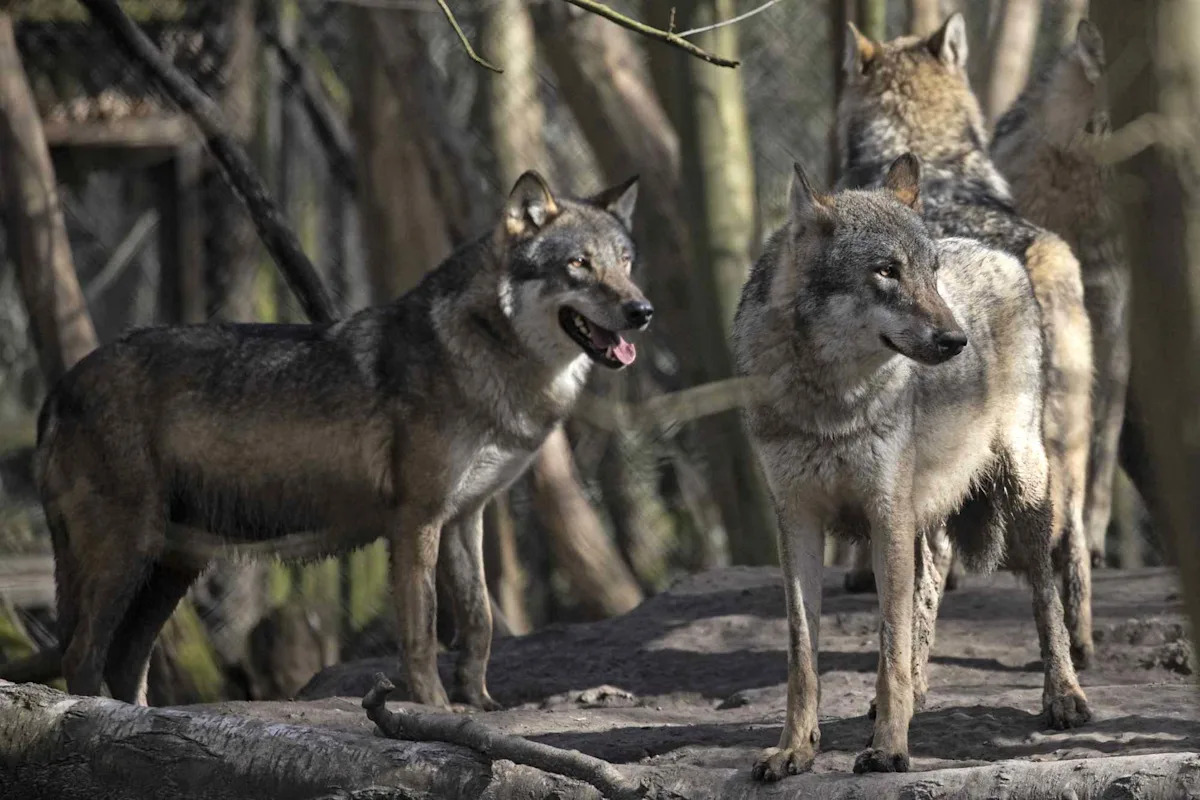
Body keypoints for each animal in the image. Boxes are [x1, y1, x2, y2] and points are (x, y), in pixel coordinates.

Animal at [35, 171, 649, 708]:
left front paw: (481, 704)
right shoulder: (416, 521)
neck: (483, 354)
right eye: (578, 264)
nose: (642, 310)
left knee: (125, 661)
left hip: (171, 567)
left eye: (624, 262)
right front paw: (437, 710)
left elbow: (480, 622)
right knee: (82, 654)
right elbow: (423, 632)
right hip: (127, 554)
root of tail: (60, 385)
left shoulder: (465, 517)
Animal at [733, 154, 1089, 779]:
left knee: (1044, 593)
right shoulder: (797, 519)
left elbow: (889, 644)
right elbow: (803, 655)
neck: (830, 402)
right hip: (925, 508)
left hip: (1022, 485)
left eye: (931, 271)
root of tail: (998, 252)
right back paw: (917, 693)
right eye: (886, 272)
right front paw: (795, 749)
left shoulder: (885, 512)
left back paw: (1063, 696)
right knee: (931, 577)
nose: (956, 340)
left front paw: (888, 748)